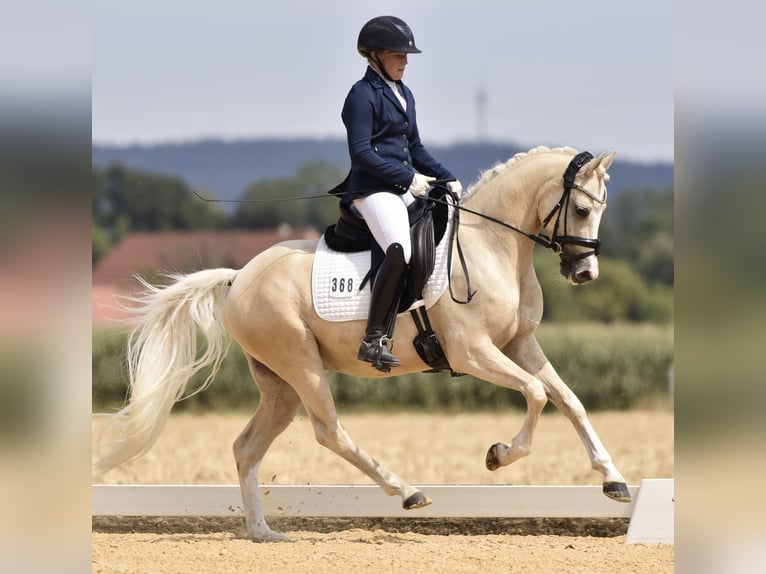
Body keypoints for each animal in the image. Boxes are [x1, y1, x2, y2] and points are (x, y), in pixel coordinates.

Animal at [94, 146, 632, 544]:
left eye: (602, 209)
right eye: (581, 209)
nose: (584, 273)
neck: (492, 247)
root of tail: (238, 276)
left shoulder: (520, 345)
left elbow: (569, 400)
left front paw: (613, 480)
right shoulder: (473, 351)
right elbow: (538, 395)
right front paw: (499, 455)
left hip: (279, 385)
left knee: (247, 447)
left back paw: (264, 533)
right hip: (301, 364)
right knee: (330, 432)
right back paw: (408, 492)